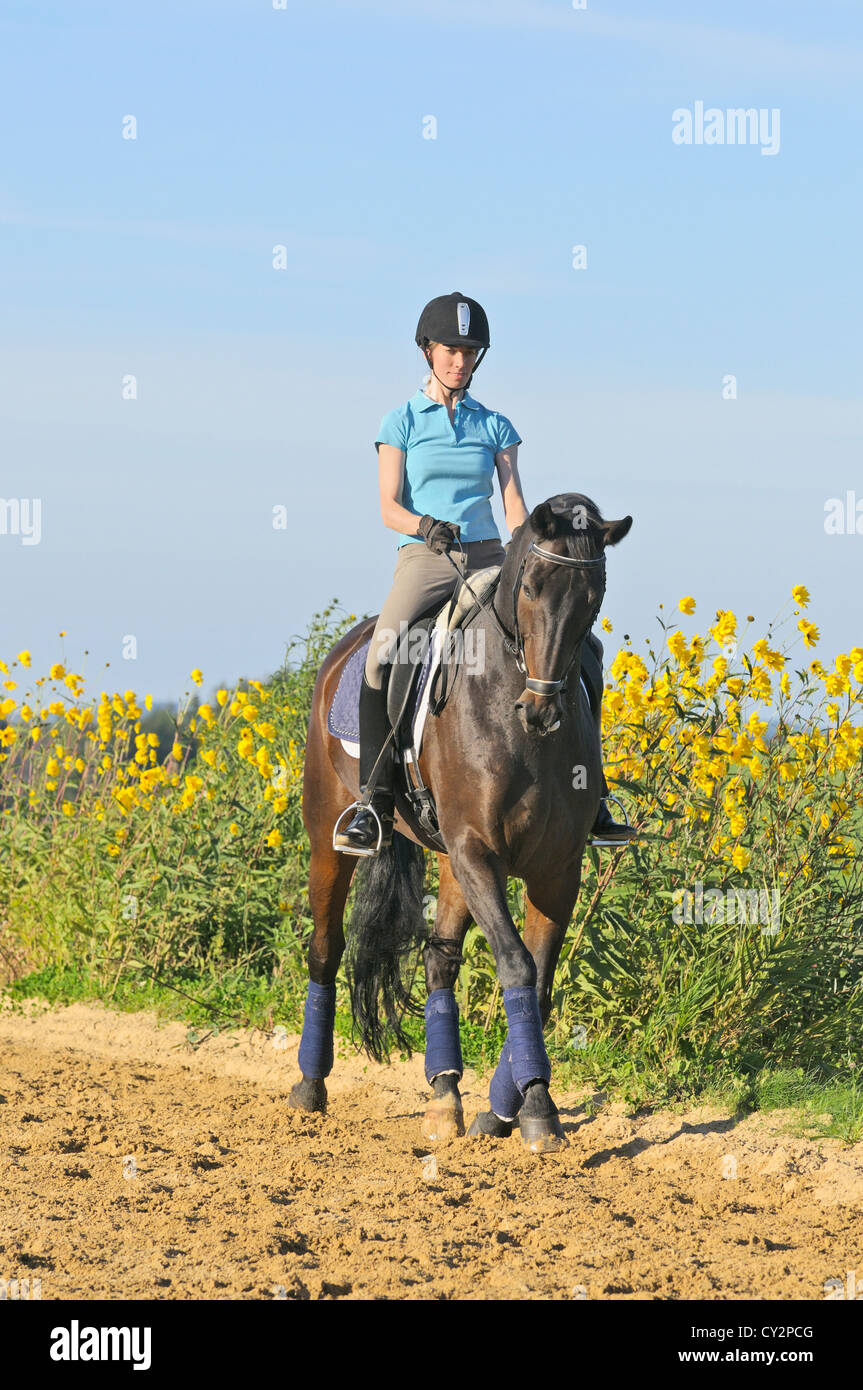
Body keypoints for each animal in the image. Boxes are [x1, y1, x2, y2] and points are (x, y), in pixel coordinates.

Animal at [290, 493, 632, 1152]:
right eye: (531, 585)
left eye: (595, 595)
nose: (541, 711)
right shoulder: (479, 853)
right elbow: (516, 964)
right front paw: (536, 1110)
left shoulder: (556, 870)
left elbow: (538, 981)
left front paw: (508, 1111)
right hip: (329, 838)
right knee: (325, 949)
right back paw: (309, 1088)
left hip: (450, 861)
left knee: (438, 961)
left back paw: (445, 1097)